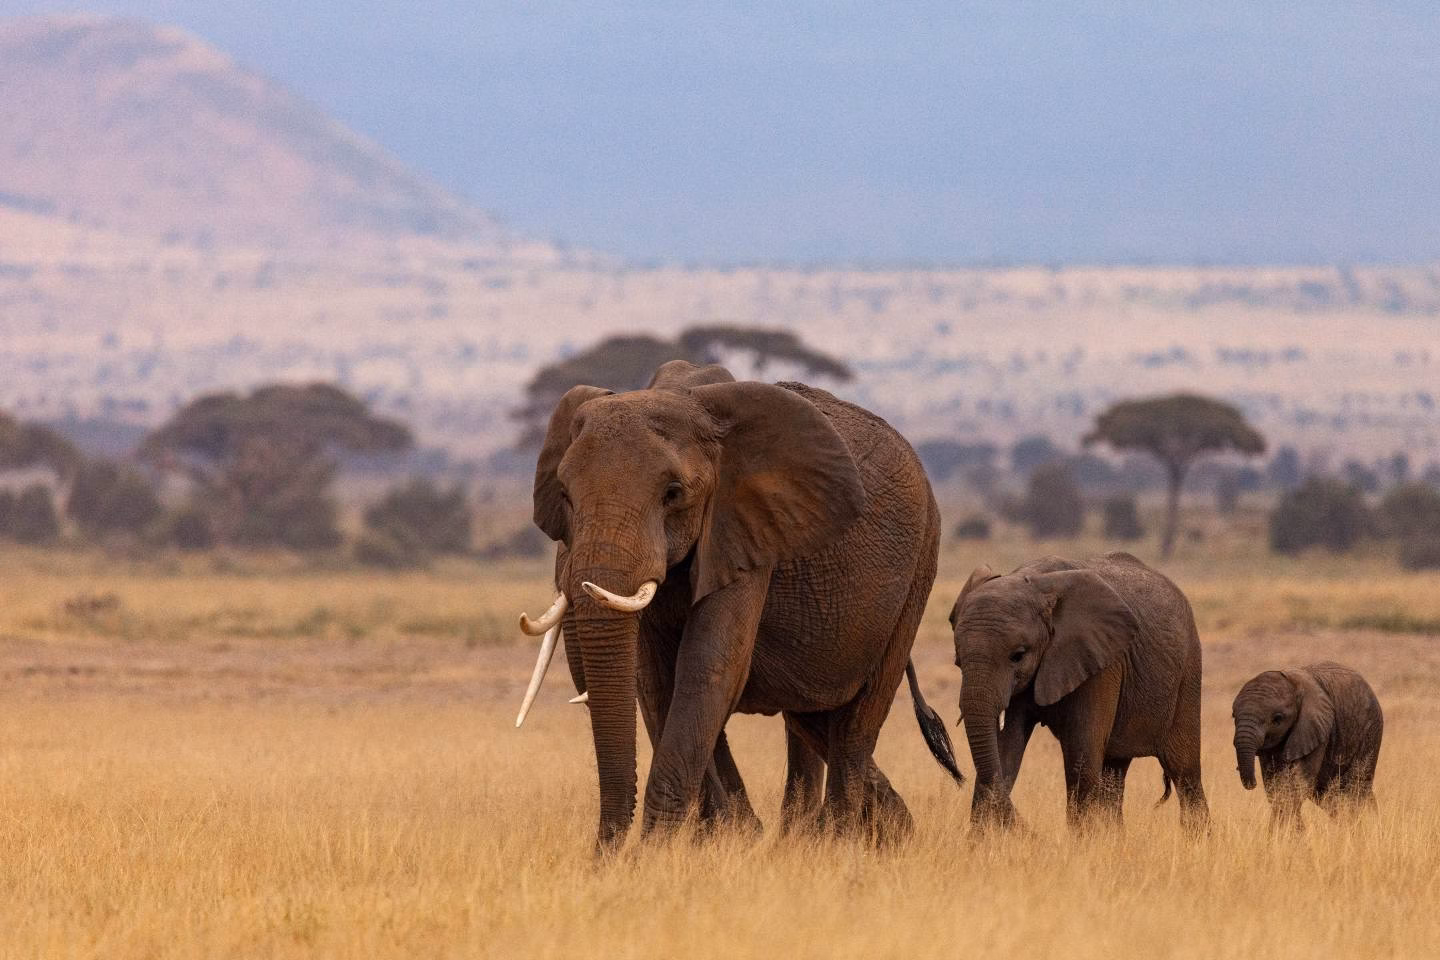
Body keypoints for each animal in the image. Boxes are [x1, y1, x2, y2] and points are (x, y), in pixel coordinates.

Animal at [512, 360, 962, 850]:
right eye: (566, 496)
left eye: (673, 493)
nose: (603, 856)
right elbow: (656, 681)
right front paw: (721, 840)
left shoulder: (746, 531)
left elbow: (708, 669)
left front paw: (657, 853)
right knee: (811, 716)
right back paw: (870, 832)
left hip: (920, 566)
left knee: (858, 721)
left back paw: (838, 843)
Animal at [948, 552, 1208, 831]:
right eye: (958, 660)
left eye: (1018, 655)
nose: (1032, 831)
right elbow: (1005, 750)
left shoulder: (1102, 661)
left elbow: (1080, 756)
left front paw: (1083, 840)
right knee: (1114, 771)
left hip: (1188, 672)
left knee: (1184, 770)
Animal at [1231, 661, 1382, 830]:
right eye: (1233, 716)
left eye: (1277, 719)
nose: (1252, 784)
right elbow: (1274, 785)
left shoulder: (1316, 727)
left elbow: (1296, 782)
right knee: (1331, 797)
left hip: (1370, 732)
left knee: (1356, 788)